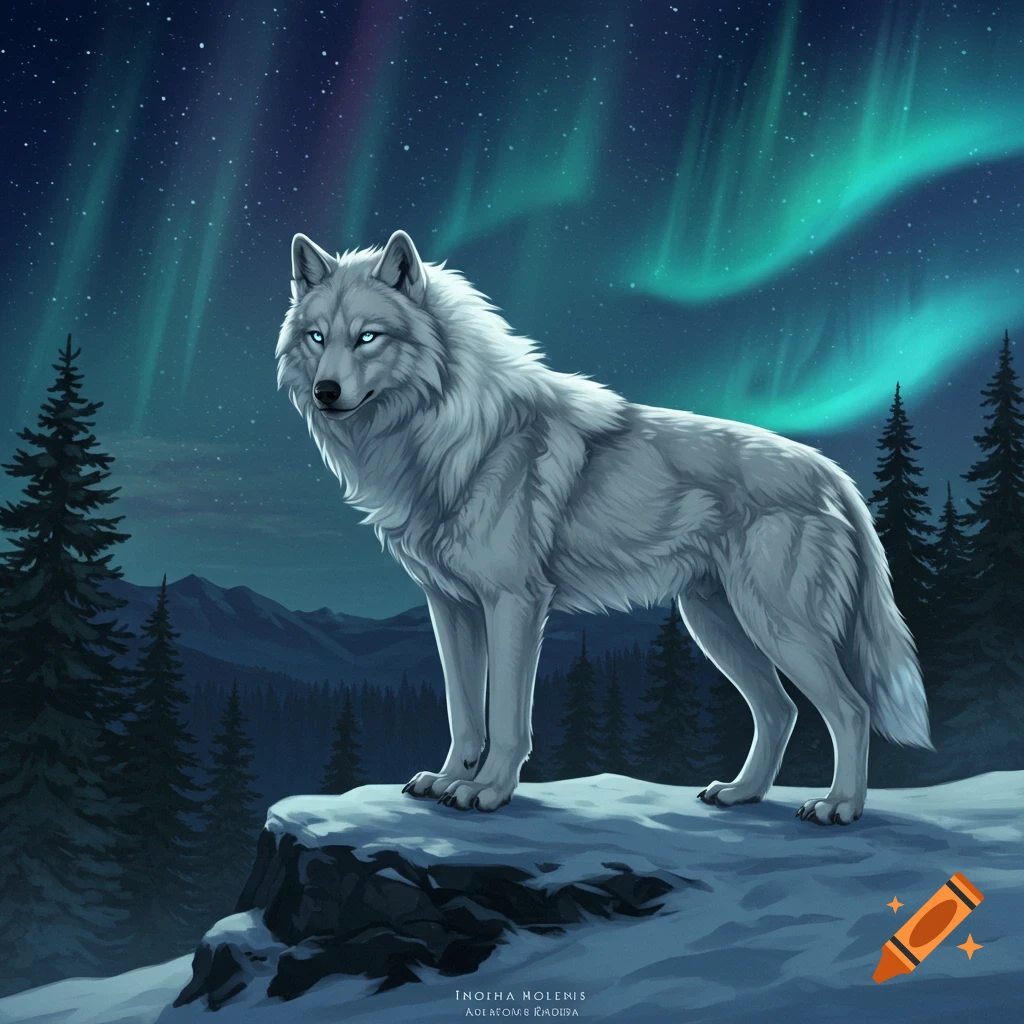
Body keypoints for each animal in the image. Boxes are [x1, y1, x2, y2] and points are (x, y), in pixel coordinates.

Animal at [275, 229, 934, 824]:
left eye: (368, 337)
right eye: (317, 336)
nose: (326, 391)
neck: (450, 434)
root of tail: (834, 475)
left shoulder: (515, 603)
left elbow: (506, 718)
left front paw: (487, 791)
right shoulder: (451, 606)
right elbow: (463, 716)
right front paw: (447, 779)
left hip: (777, 627)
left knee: (849, 711)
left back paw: (840, 806)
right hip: (719, 625)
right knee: (779, 711)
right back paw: (741, 794)